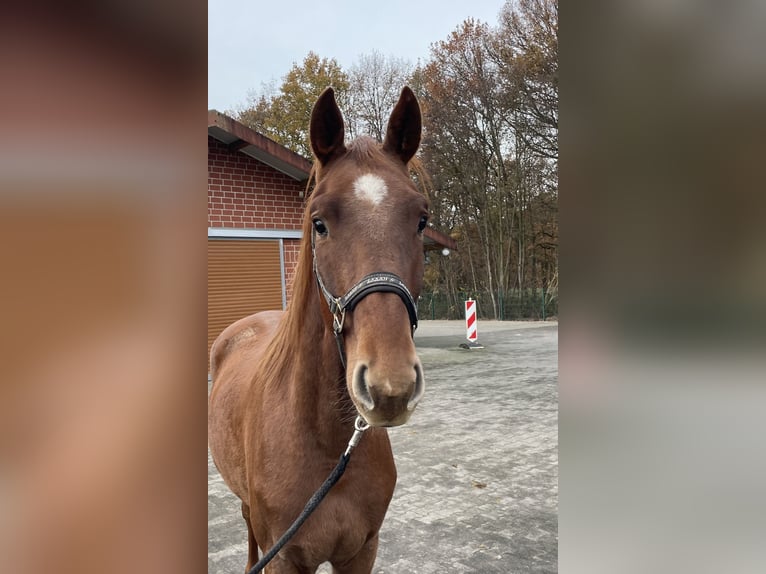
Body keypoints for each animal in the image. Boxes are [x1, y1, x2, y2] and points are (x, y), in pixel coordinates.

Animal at [207, 86, 428, 574]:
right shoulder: (285, 559)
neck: (328, 446)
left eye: (422, 219)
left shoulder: (362, 551)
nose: (390, 387)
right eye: (319, 222)